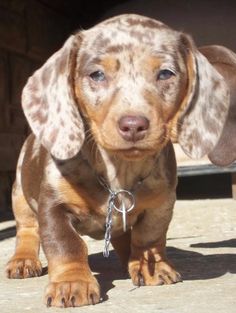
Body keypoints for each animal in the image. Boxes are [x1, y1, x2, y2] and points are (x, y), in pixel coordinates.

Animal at [5, 14, 234, 308]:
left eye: (165, 73)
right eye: (97, 74)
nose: (133, 125)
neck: (119, 172)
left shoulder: (161, 203)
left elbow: (149, 236)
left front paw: (152, 266)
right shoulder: (53, 205)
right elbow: (66, 243)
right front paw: (72, 283)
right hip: (20, 196)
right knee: (27, 230)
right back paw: (23, 261)